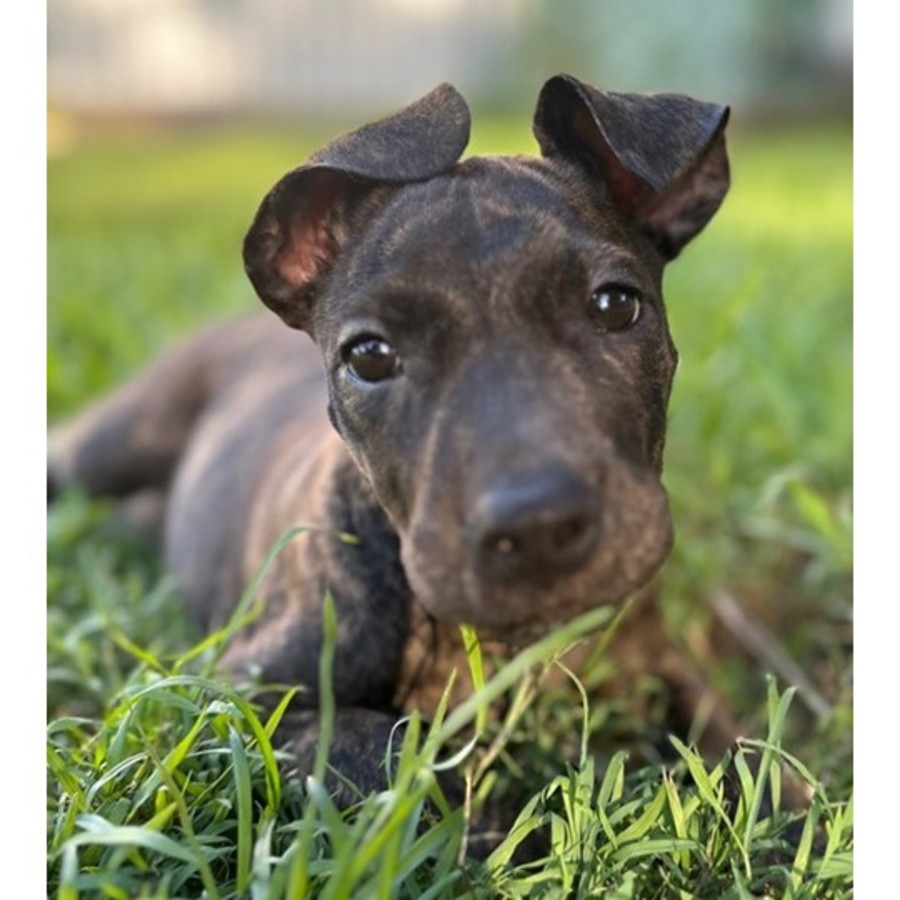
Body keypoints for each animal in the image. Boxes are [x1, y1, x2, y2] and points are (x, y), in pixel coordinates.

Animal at [50, 74, 740, 801]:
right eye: (370, 357)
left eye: (615, 304)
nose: (539, 525)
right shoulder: (232, 697)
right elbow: (384, 748)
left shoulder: (665, 665)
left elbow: (745, 758)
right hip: (115, 440)